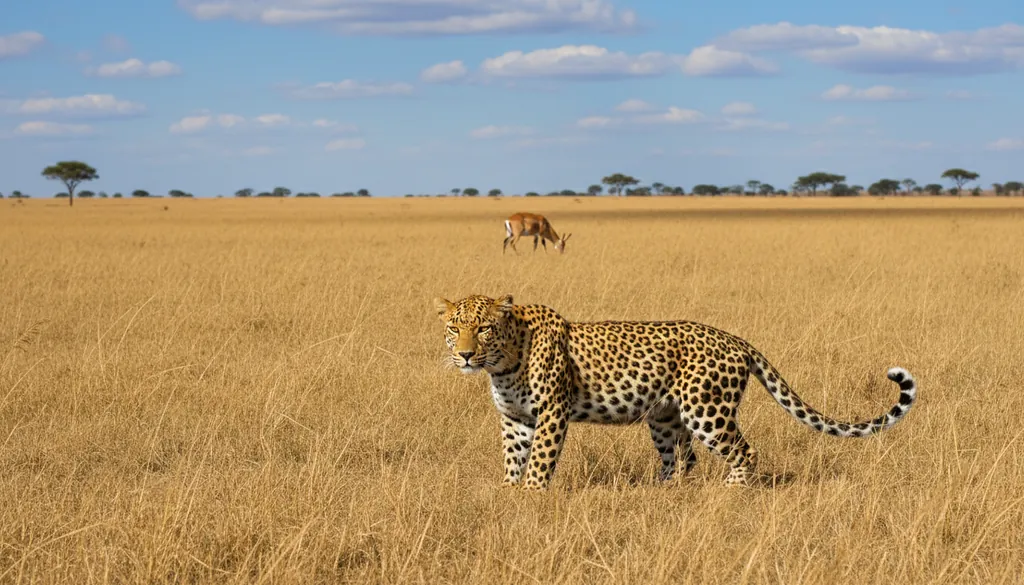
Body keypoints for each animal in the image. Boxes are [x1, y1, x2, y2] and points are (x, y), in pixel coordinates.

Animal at [434, 294, 917, 490]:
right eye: (455, 329)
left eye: (484, 328)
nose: (464, 356)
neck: (504, 363)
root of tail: (736, 339)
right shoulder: (516, 418)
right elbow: (513, 458)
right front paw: (510, 494)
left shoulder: (552, 412)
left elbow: (539, 461)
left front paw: (531, 497)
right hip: (666, 417)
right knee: (683, 461)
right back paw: (666, 493)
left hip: (708, 411)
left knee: (744, 452)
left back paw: (728, 493)